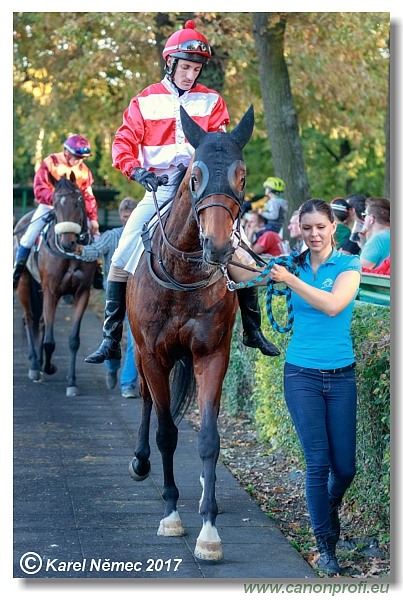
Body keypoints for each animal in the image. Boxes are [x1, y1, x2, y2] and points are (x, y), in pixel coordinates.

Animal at [13, 173, 97, 396]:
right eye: (55, 204)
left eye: (78, 202)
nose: (68, 242)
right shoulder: (52, 291)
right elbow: (50, 341)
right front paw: (49, 367)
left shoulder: (81, 292)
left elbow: (73, 339)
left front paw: (71, 382)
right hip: (25, 283)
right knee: (29, 318)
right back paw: (35, 365)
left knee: (41, 321)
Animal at [127, 105, 252, 560]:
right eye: (194, 175)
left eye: (241, 175)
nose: (218, 246)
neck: (182, 274)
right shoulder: (153, 356)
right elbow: (167, 433)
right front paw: (171, 514)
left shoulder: (212, 354)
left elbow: (209, 439)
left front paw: (209, 529)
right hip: (141, 355)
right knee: (147, 402)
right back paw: (141, 461)